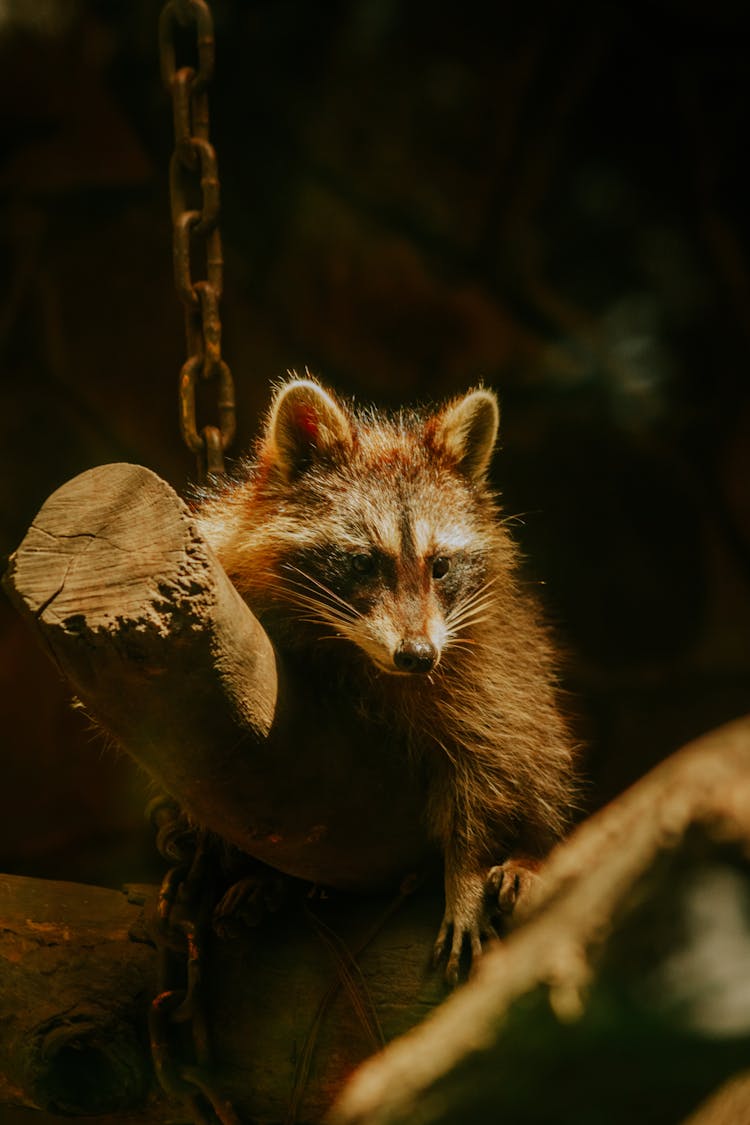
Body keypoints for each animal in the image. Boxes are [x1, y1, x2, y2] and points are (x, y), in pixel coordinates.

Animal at [195, 373, 575, 981]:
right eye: (362, 562)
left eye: (440, 566)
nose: (417, 655)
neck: (353, 649)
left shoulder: (483, 662)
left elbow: (491, 759)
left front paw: (466, 876)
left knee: (540, 754)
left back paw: (531, 851)